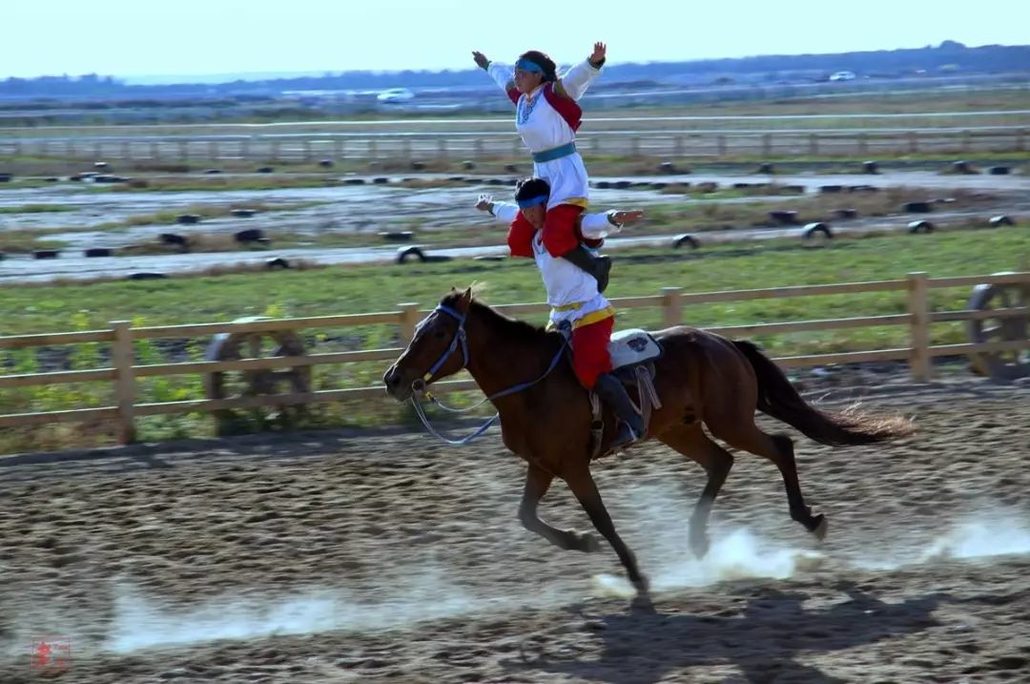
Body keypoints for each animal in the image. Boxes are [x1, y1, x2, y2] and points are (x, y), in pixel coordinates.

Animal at [383, 286, 914, 593]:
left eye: (437, 334)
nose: (393, 378)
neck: (532, 382)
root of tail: (724, 343)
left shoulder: (573, 465)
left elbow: (601, 519)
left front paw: (636, 575)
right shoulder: (542, 465)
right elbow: (527, 517)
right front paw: (579, 544)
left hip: (730, 421)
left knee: (779, 448)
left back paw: (809, 520)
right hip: (679, 429)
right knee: (721, 464)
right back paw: (698, 541)